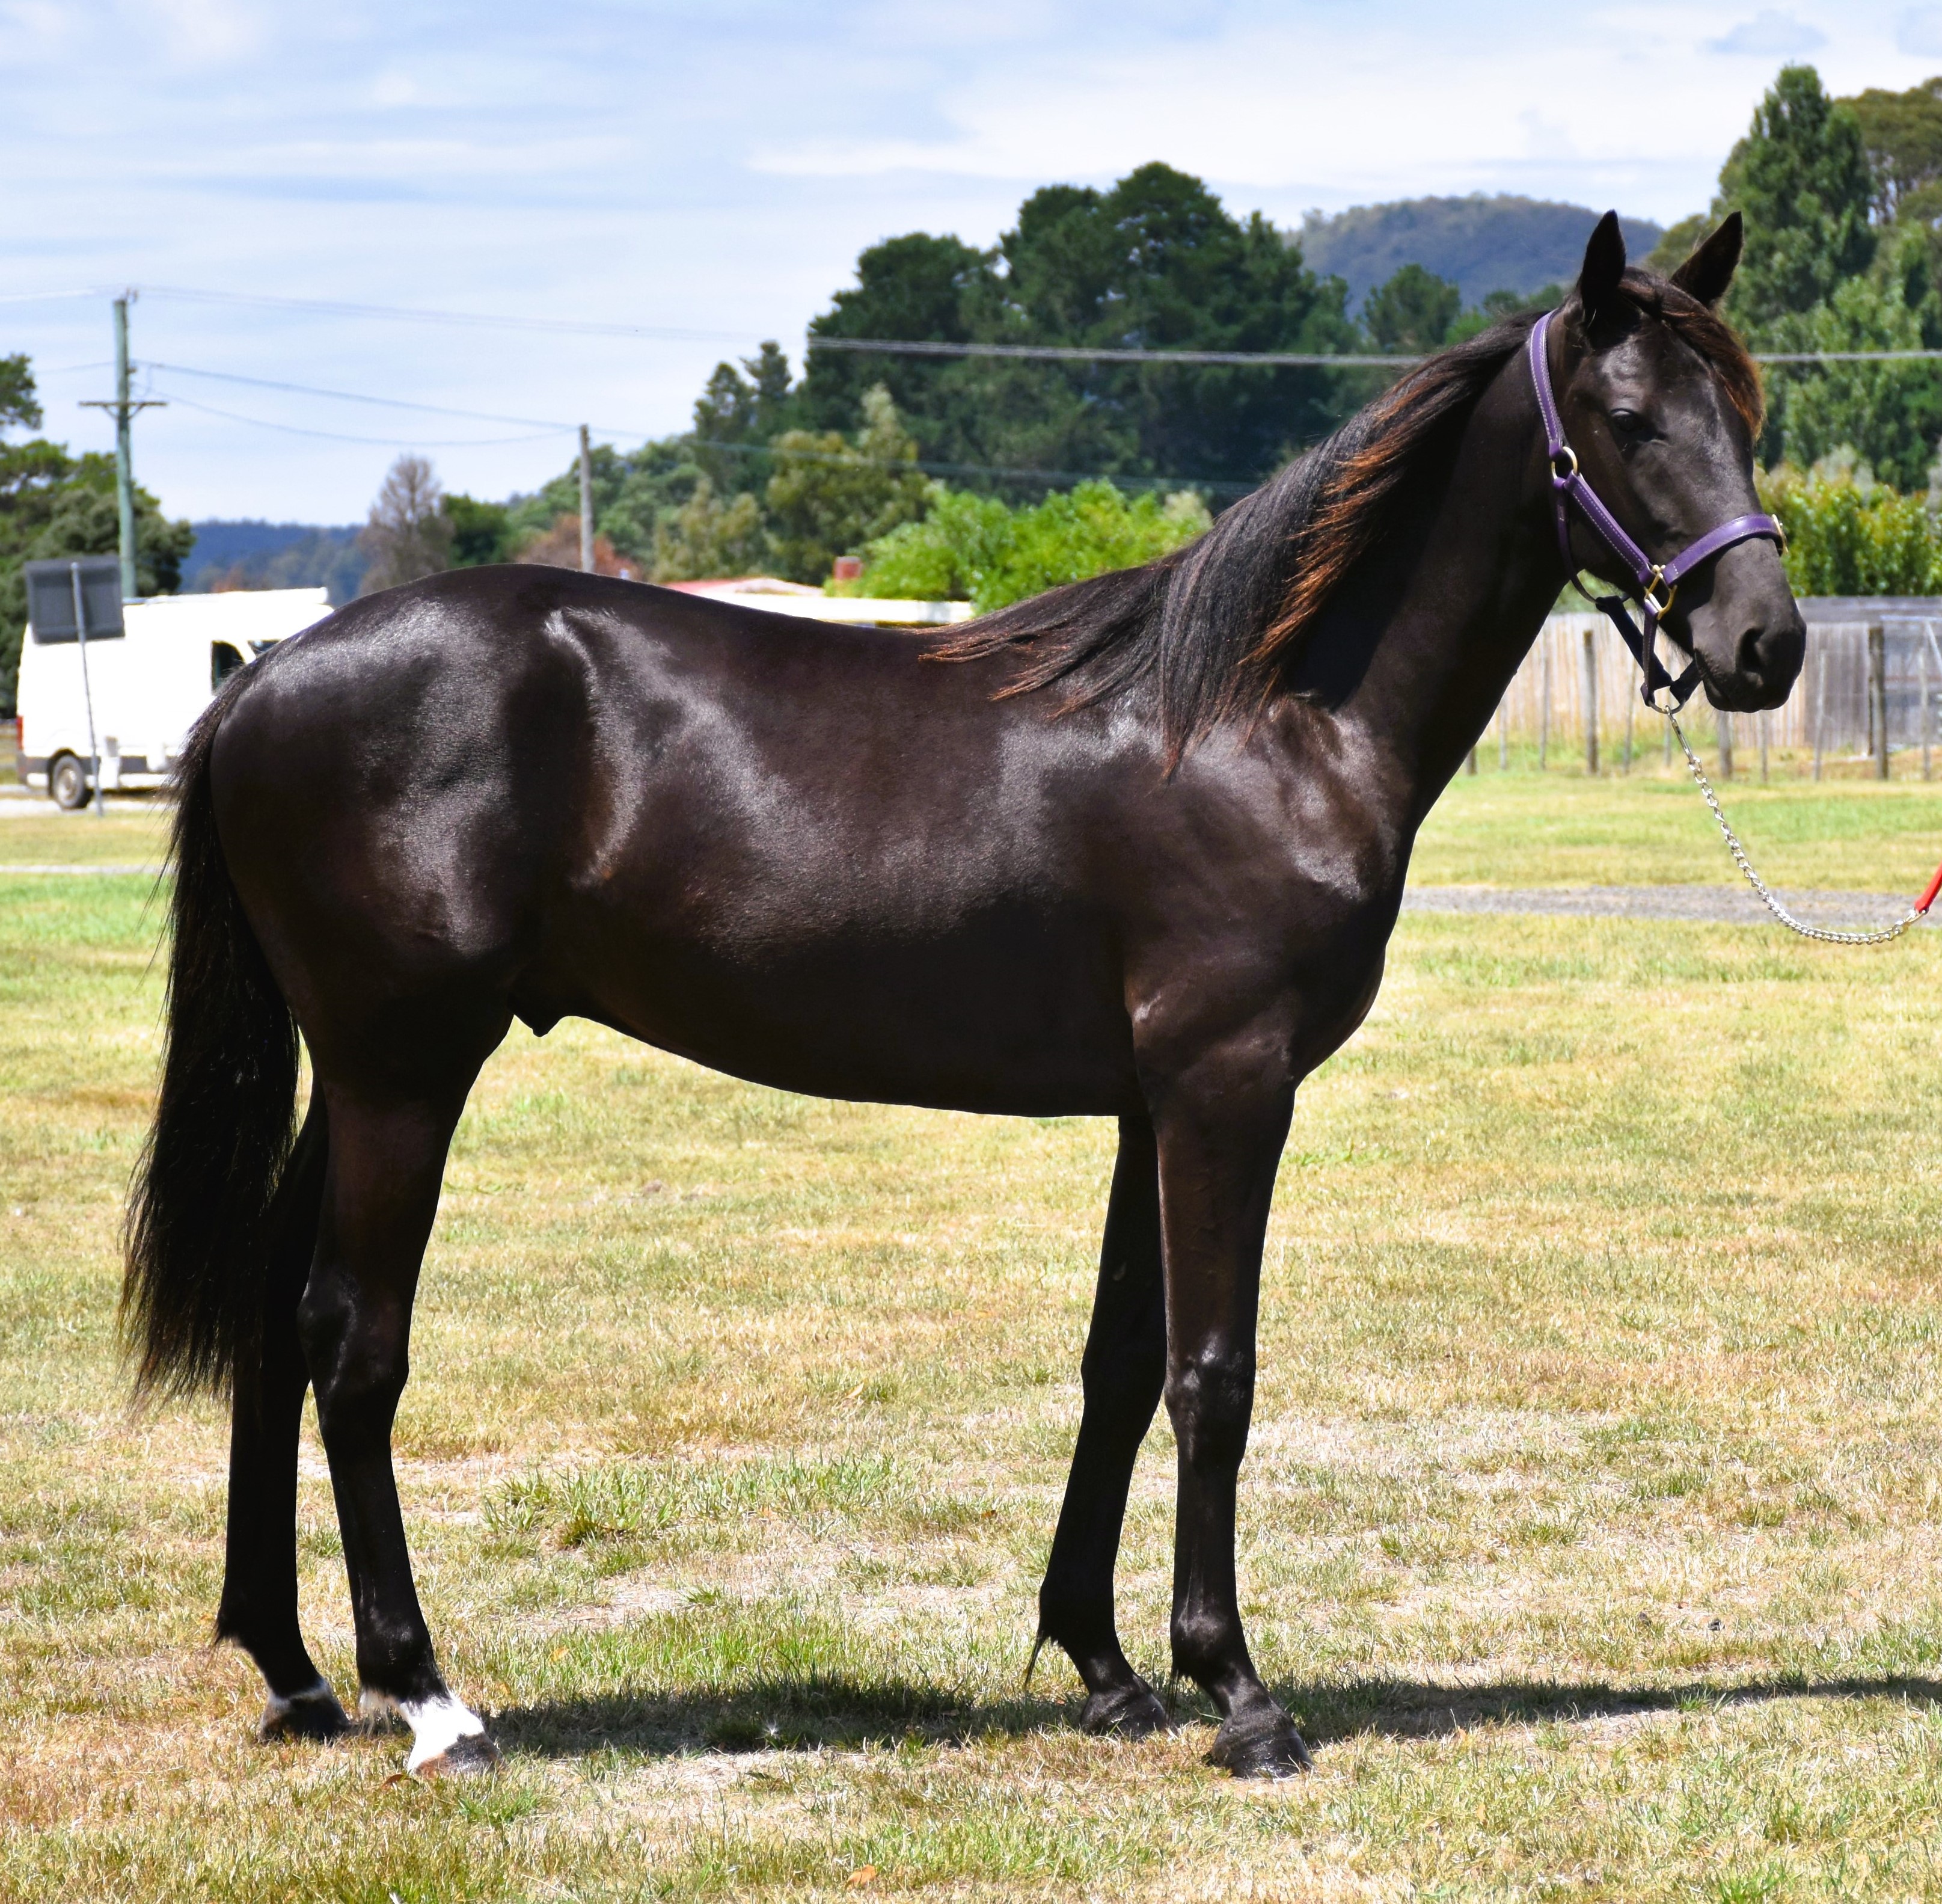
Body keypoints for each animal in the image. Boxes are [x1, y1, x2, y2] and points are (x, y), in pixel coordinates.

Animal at [123, 211, 1803, 1779]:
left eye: (1745, 412)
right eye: (1633, 420)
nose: (1762, 642)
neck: (1260, 719)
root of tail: (255, 680)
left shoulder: (1148, 1102)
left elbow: (1120, 1364)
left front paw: (1108, 1665)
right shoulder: (1228, 1085)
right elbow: (1214, 1375)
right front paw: (1238, 1691)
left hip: (352, 1078)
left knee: (273, 1321)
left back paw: (295, 1672)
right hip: (404, 1074)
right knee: (354, 1342)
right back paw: (428, 1695)